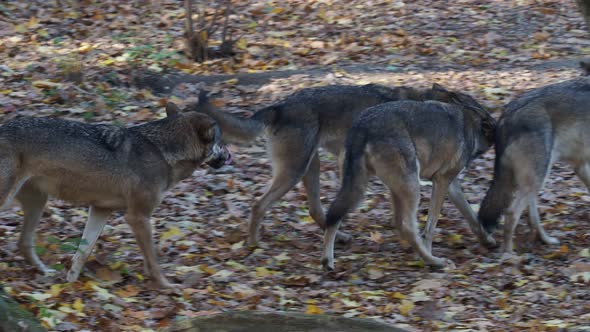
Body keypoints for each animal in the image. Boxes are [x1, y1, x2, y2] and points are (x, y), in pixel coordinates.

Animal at [0, 104, 231, 288]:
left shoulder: (101, 210)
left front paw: (71, 283)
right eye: (220, 141)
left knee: (23, 243)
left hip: (38, 202)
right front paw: (168, 287)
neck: (163, 151)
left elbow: (82, 252)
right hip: (10, 201)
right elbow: (153, 261)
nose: (230, 155)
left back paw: (45, 272)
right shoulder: (137, 217)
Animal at [191, 83, 480, 246]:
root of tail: (280, 105)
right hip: (295, 171)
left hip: (310, 166)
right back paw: (253, 243)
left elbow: (469, 213)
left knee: (317, 211)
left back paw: (338, 238)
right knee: (259, 205)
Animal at [322, 90, 498, 270]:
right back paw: (433, 261)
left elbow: (472, 216)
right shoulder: (442, 181)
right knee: (408, 227)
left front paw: (488, 240)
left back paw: (327, 261)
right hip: (411, 188)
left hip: (373, 188)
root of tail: (362, 127)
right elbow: (431, 225)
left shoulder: (451, 185)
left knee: (340, 215)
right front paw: (429, 252)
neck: (471, 123)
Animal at [480, 77, 590, 254]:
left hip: (537, 177)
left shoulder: (580, 165)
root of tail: (505, 116)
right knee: (512, 213)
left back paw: (545, 240)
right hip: (538, 176)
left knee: (532, 216)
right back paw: (508, 254)